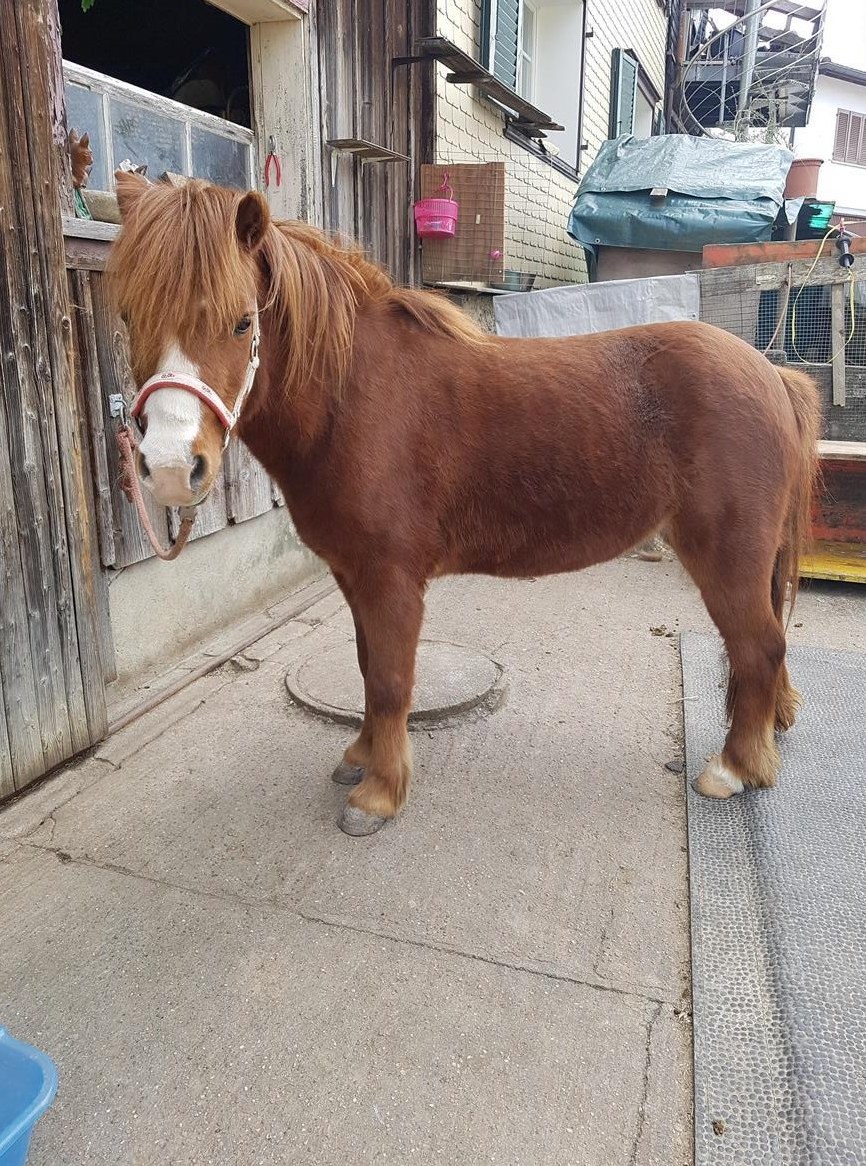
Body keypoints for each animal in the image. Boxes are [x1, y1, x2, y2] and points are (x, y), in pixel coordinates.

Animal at [109, 171, 821, 837]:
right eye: (128, 317)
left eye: (242, 321)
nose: (170, 468)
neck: (352, 397)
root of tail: (770, 374)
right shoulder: (355, 575)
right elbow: (367, 668)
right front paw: (361, 756)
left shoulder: (390, 578)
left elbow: (391, 680)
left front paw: (378, 794)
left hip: (725, 556)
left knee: (759, 646)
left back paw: (733, 769)